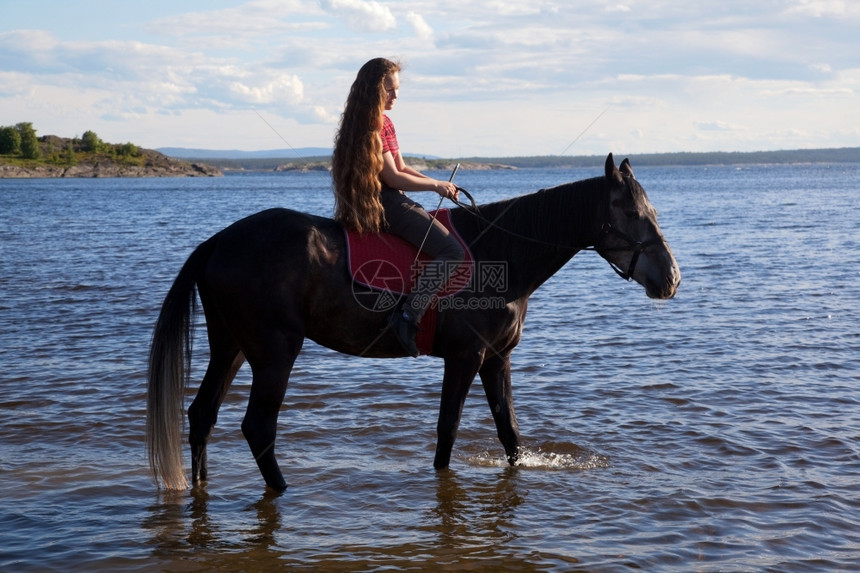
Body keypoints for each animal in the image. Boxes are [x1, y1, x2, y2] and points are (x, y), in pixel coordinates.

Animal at [151, 153, 680, 492]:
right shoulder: (465, 358)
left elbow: (509, 433)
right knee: (257, 427)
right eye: (630, 211)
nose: (671, 279)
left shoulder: (497, 360)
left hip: (233, 346)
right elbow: (447, 430)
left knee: (202, 415)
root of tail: (219, 241)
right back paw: (281, 492)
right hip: (275, 351)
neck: (501, 253)